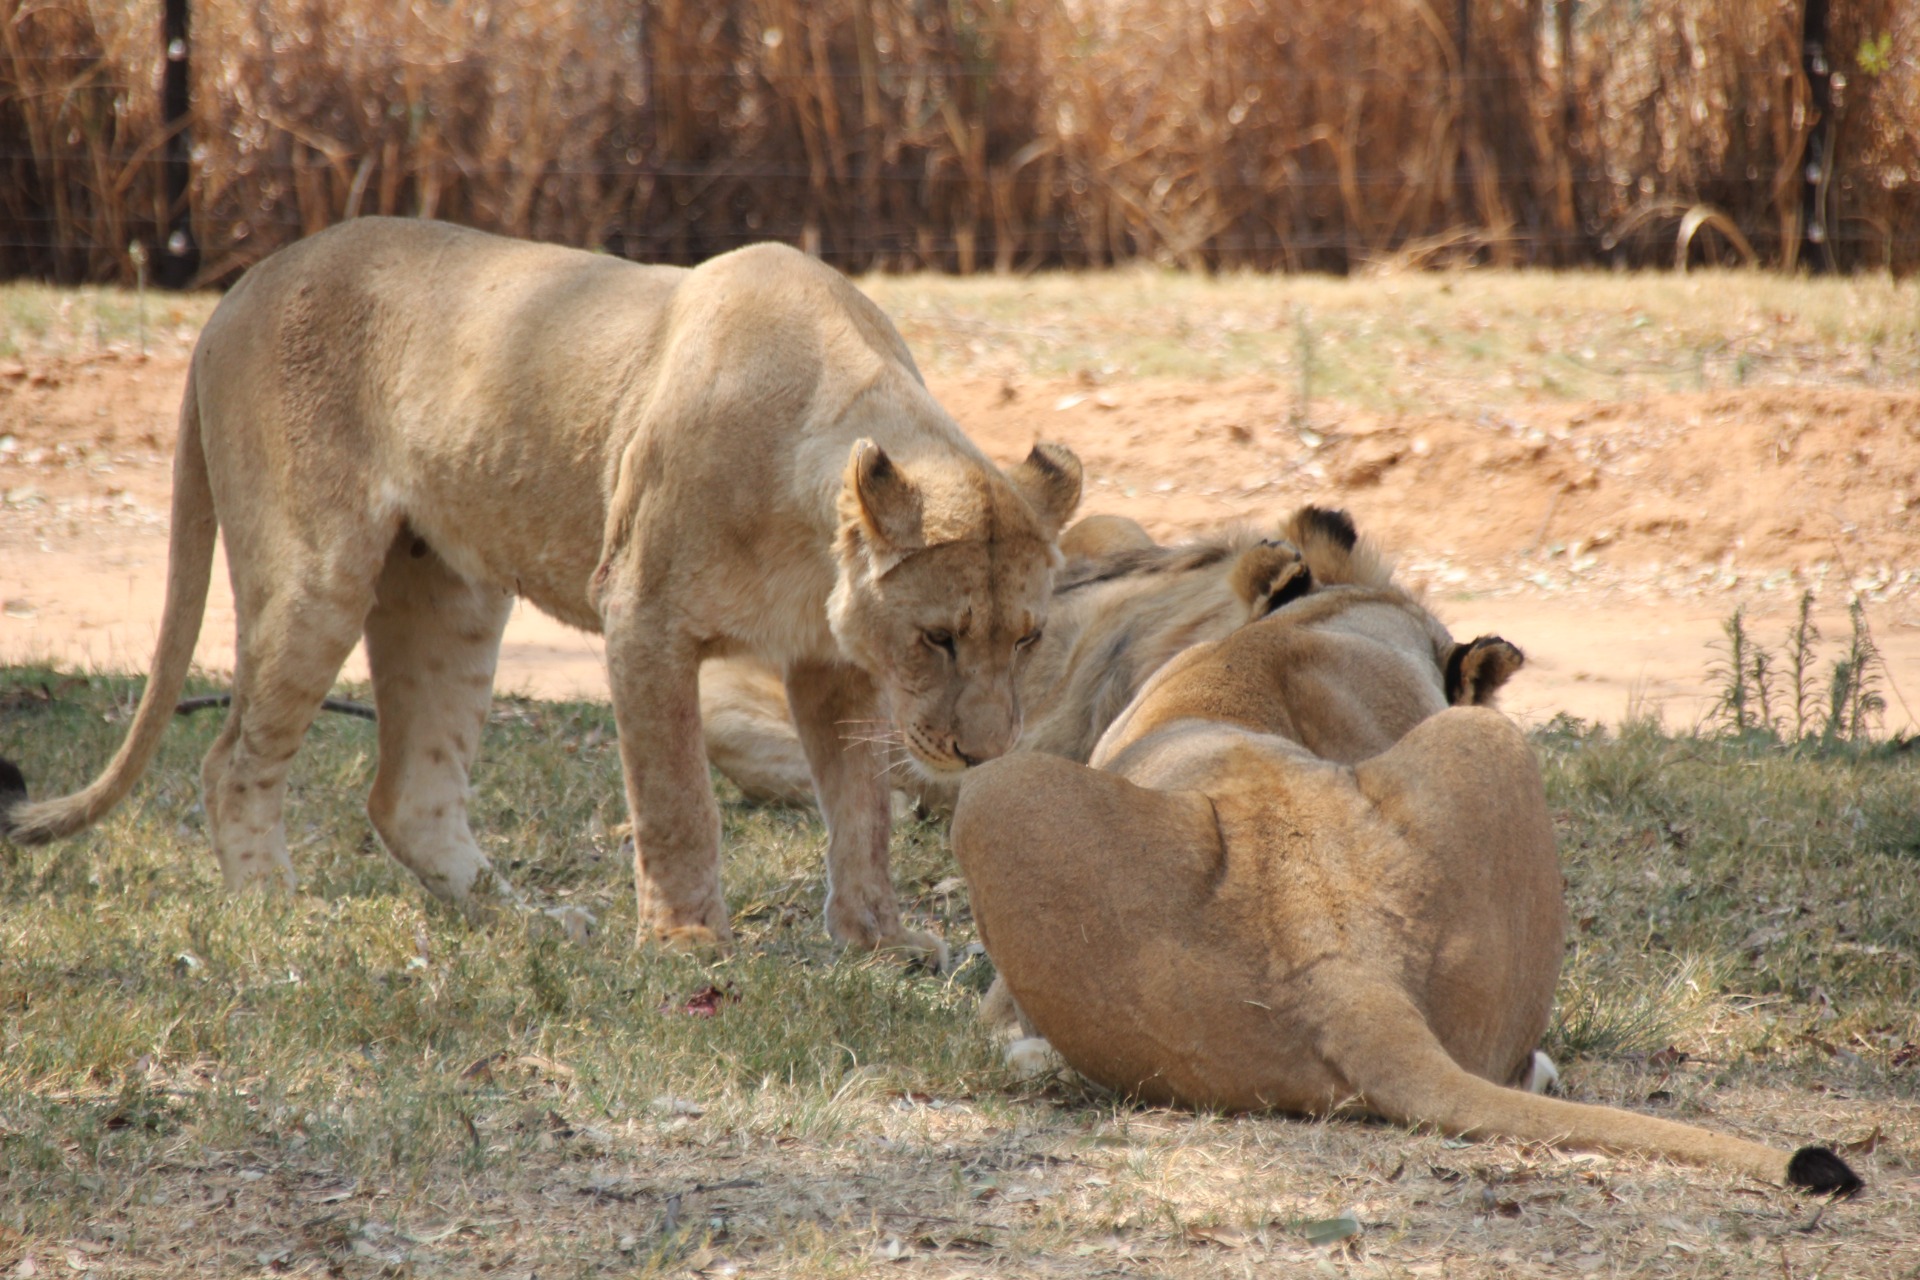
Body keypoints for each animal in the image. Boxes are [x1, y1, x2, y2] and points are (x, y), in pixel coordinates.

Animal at [0, 217, 1083, 967]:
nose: (984, 754)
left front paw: (879, 939)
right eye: (939, 637)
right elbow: (677, 797)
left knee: (410, 794)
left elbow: (860, 810)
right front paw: (687, 940)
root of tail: (237, 292)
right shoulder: (640, 615)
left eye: (1027, 637)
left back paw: (533, 920)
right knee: (231, 758)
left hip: (455, 600)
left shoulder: (831, 664)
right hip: (314, 576)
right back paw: (274, 906)